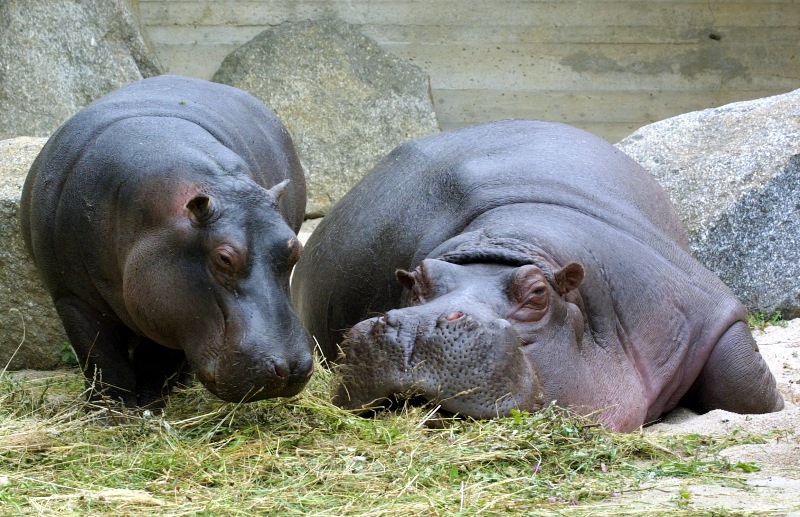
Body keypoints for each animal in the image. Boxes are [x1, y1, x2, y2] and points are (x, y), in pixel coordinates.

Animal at [20, 74, 314, 410]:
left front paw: (149, 404)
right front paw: (110, 410)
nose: (292, 367)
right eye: (224, 258)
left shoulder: (170, 306)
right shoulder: (73, 298)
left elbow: (156, 360)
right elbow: (103, 360)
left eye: (295, 250)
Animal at [290, 119, 784, 430]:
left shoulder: (706, 308)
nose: (414, 329)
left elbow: (749, 390)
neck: (508, 239)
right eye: (416, 281)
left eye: (537, 293)